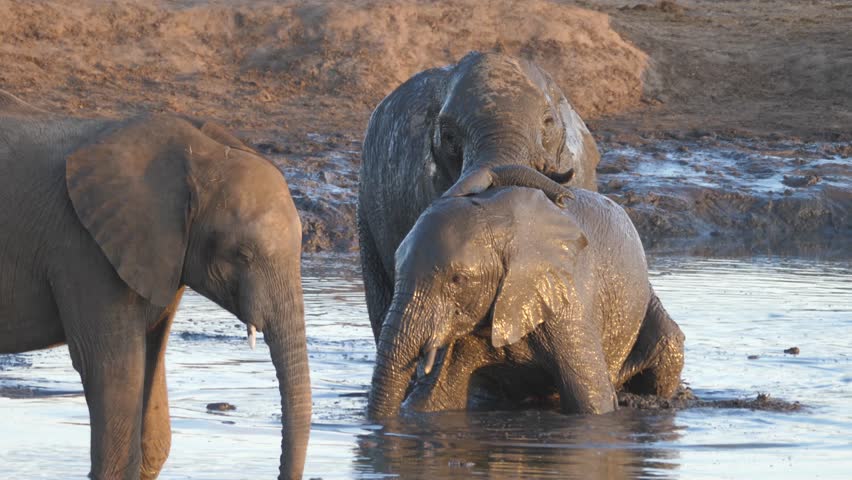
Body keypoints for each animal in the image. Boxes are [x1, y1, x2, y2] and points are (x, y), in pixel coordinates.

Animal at [368, 178, 685, 419]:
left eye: (458, 280)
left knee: (669, 340)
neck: (503, 228)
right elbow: (435, 400)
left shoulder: (568, 302)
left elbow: (593, 401)